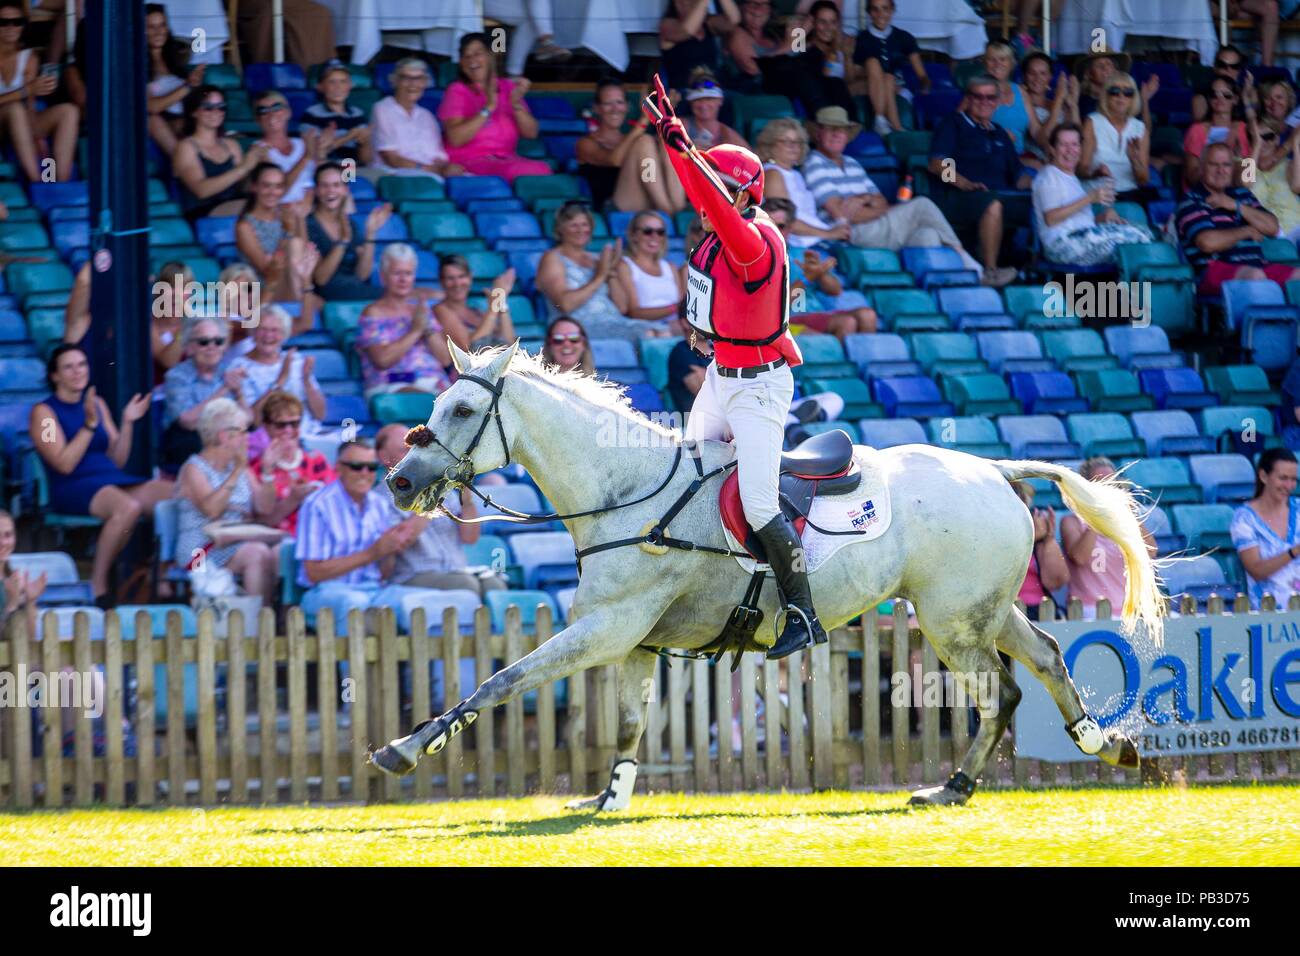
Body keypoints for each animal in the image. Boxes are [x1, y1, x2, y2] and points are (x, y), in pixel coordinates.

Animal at [369, 343, 1170, 806]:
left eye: (462, 408)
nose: (400, 484)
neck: (624, 488)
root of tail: (996, 470)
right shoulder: (634, 641)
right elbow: (628, 723)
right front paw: (609, 800)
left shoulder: (608, 628)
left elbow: (501, 680)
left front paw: (406, 747)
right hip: (982, 609)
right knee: (1046, 656)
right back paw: (1101, 743)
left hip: (952, 621)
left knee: (1000, 690)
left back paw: (957, 787)